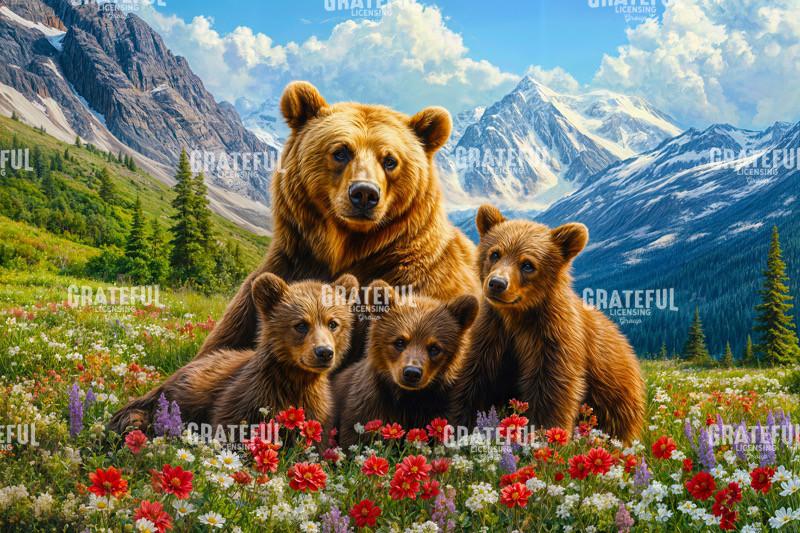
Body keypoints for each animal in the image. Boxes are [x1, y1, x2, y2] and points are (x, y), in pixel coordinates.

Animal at [108, 273, 358, 434]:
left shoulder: (316, 407)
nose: (324, 352)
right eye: (301, 325)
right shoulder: (246, 394)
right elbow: (229, 425)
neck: (295, 378)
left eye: (333, 323)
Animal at [196, 81, 480, 367]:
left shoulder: (420, 283)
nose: (364, 193)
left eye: (390, 160)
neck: (346, 248)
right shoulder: (287, 268)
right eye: (341, 152)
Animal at [332, 280, 478, 449]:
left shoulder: (442, 410)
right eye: (400, 341)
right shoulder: (366, 409)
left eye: (434, 348)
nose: (412, 373)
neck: (408, 400)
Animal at [450, 205, 645, 443]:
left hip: (615, 398)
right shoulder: (492, 333)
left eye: (528, 264)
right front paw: (457, 428)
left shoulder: (552, 338)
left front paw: (542, 437)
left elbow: (551, 390)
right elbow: (474, 380)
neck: (518, 318)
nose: (497, 283)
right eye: (495, 253)